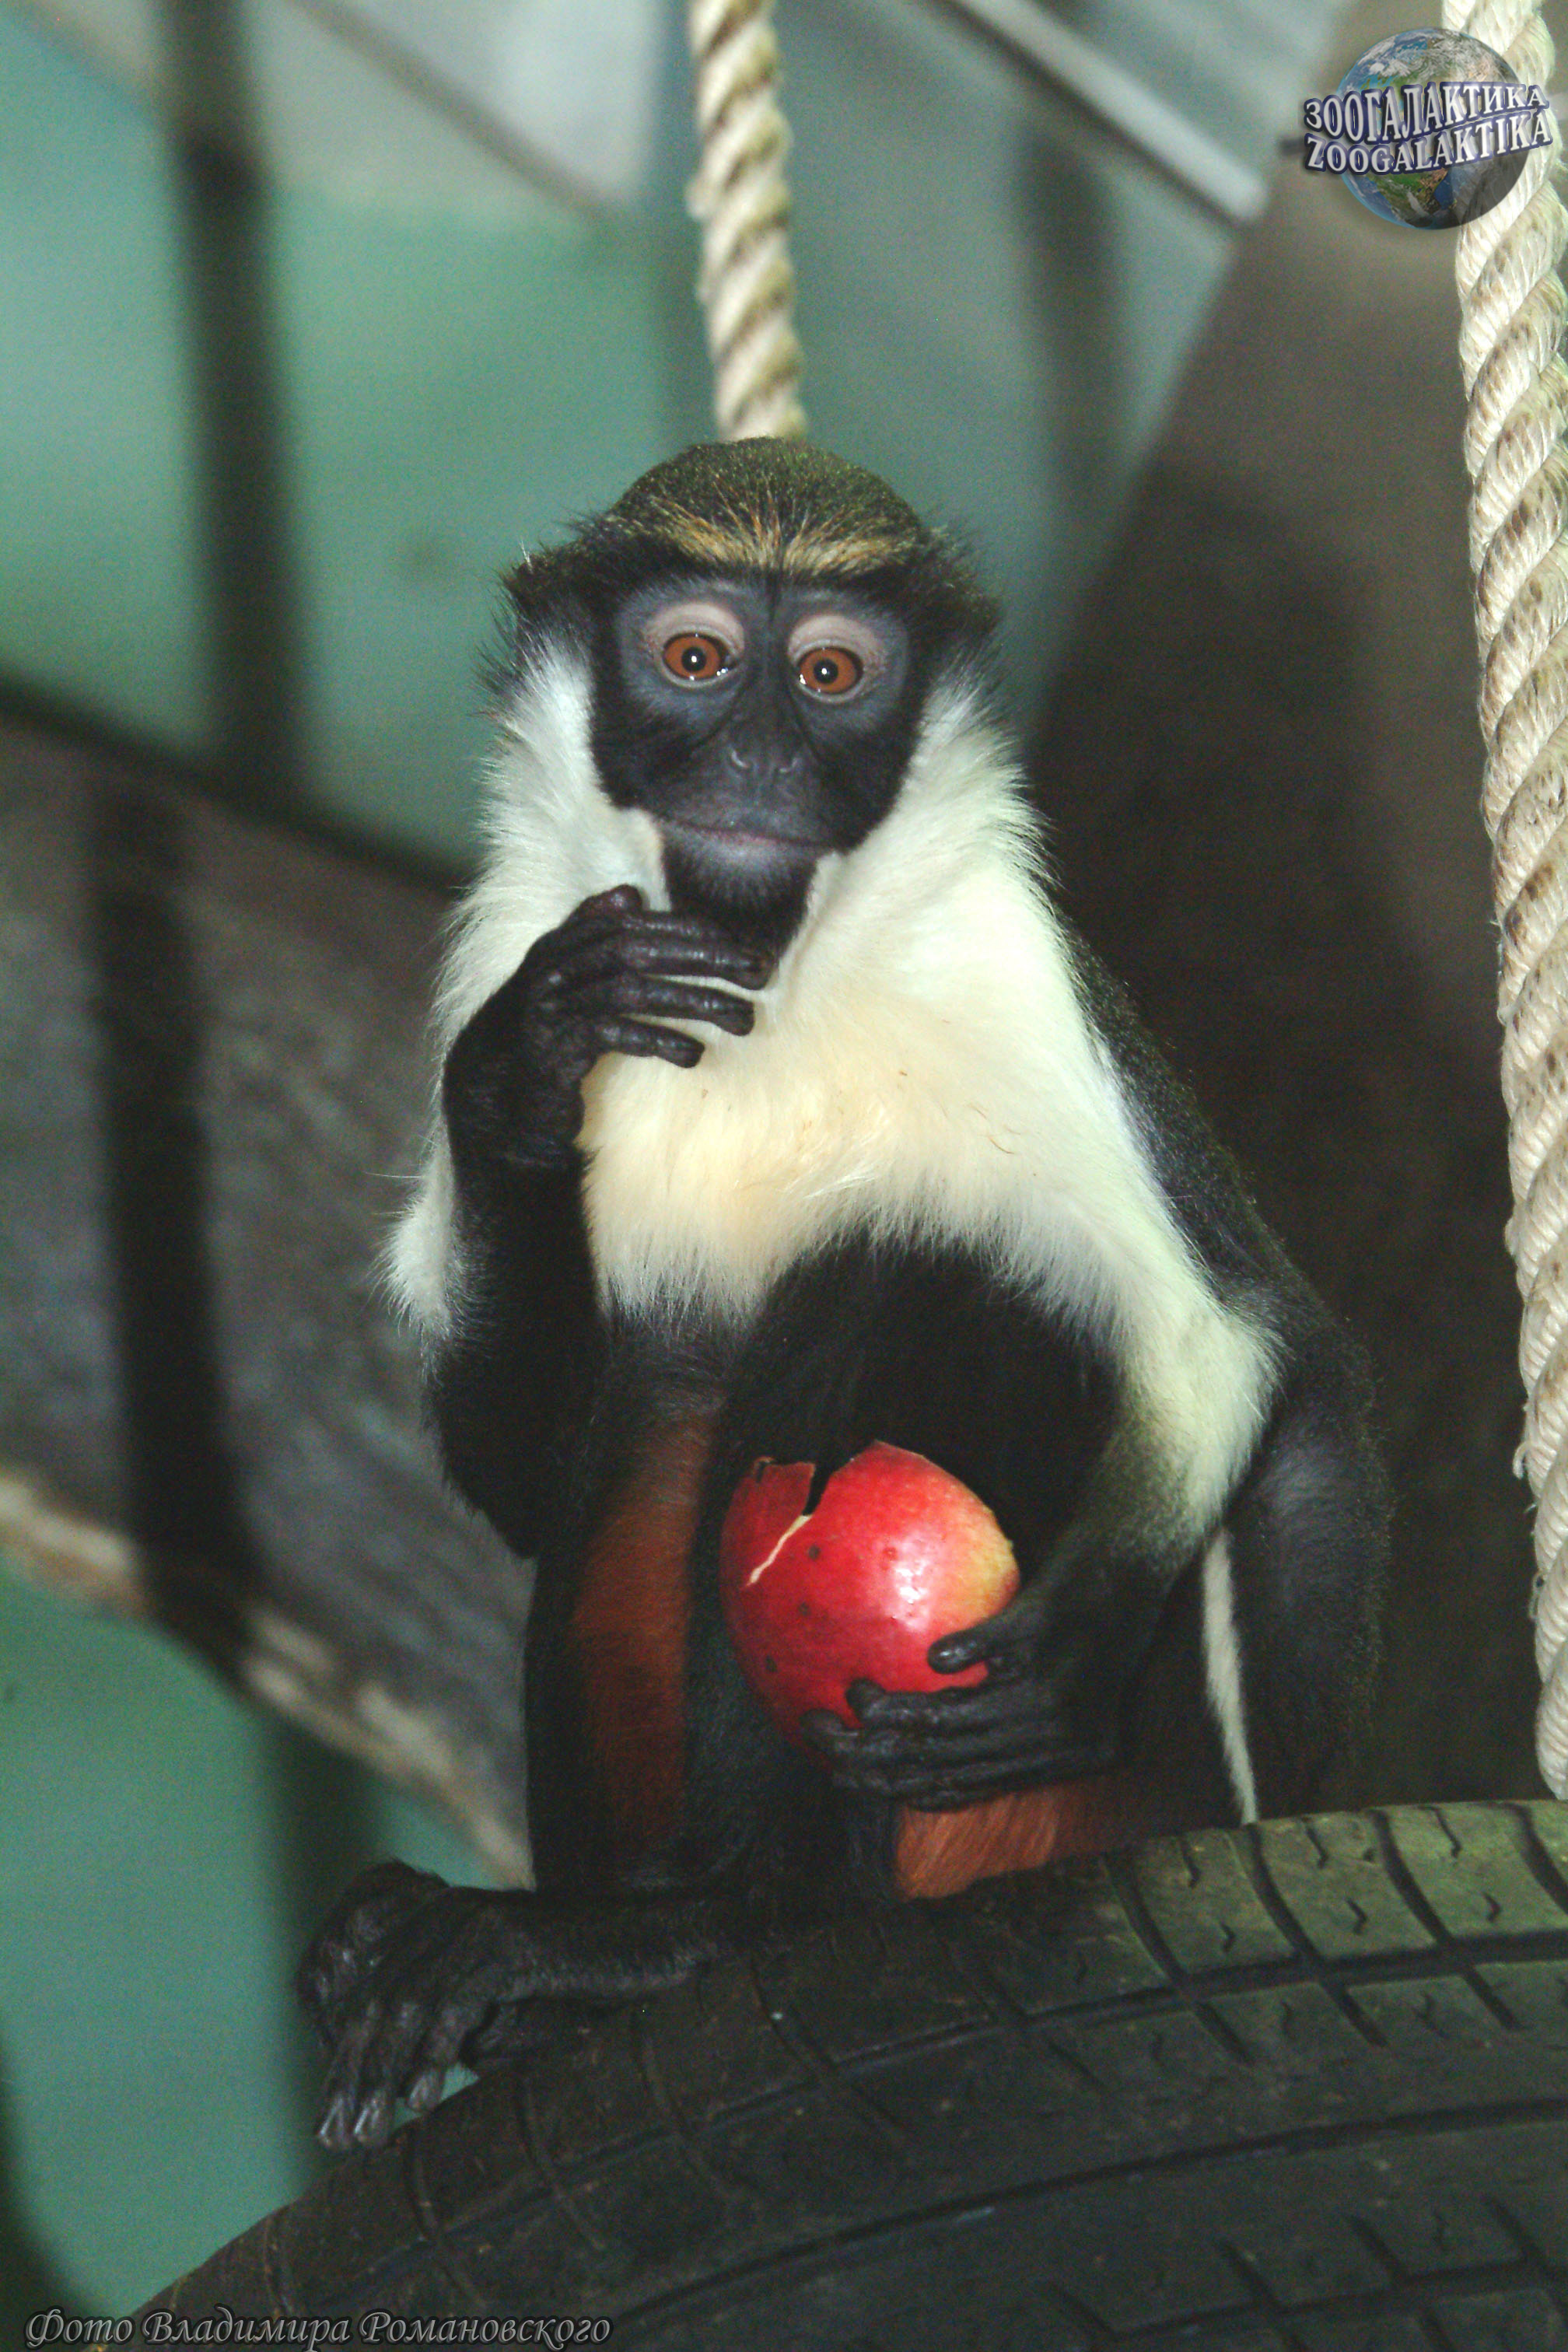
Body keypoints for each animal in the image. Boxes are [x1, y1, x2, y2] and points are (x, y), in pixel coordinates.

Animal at [299, 439, 1387, 2152]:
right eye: (695, 659)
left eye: (829, 675)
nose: (757, 759)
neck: (778, 981)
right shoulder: (515, 928)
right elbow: (527, 1481)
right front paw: (520, 1073)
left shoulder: (1015, 977)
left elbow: (1226, 1344)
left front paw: (1071, 1645)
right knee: (665, 1396)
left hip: (1069, 1814)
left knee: (905, 1270)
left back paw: (732, 1922)